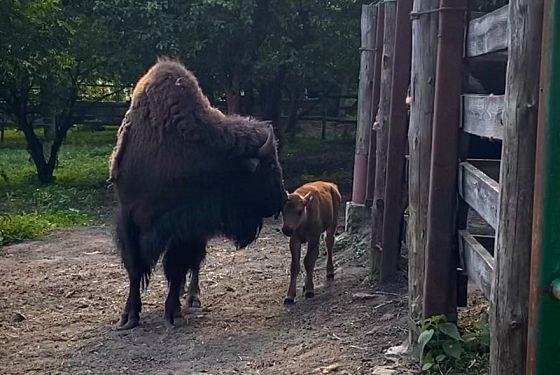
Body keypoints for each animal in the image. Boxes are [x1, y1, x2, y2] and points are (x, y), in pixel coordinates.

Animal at [107, 57, 286, 330]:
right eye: (270, 167)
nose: (283, 198)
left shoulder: (185, 226)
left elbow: (177, 267)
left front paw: (173, 313)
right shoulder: (129, 217)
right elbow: (135, 268)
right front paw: (128, 317)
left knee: (195, 264)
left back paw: (191, 297)